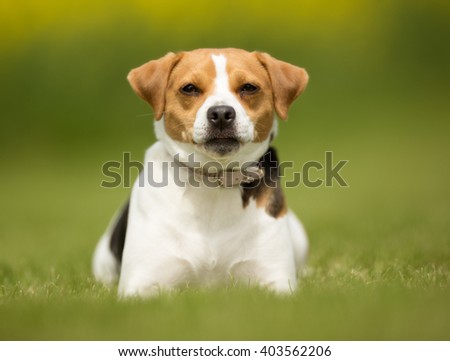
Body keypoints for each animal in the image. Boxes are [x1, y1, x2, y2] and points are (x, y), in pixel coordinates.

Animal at [92, 47, 308, 296]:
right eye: (189, 88)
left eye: (249, 87)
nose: (222, 113)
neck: (213, 180)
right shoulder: (141, 284)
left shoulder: (277, 281)